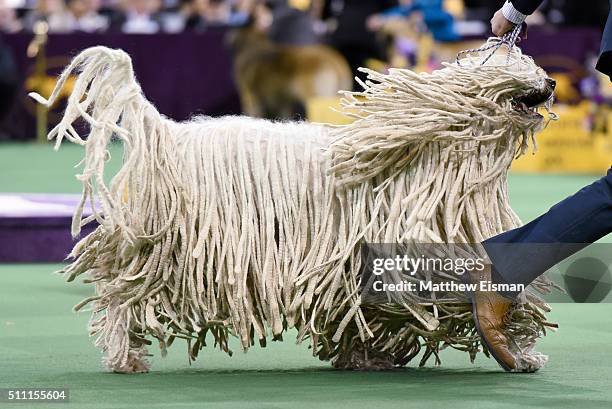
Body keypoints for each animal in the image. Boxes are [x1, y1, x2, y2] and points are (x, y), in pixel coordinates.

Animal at [33, 41, 560, 372]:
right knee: (120, 296)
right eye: (520, 71)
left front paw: (366, 354)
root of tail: (170, 136)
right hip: (161, 247)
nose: (552, 82)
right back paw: (123, 357)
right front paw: (517, 346)